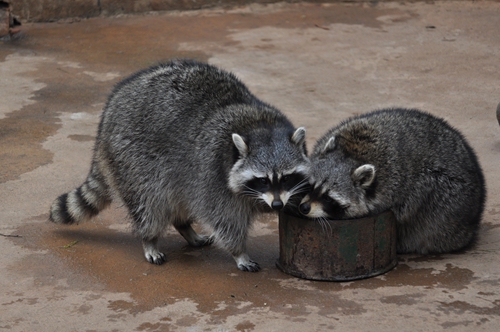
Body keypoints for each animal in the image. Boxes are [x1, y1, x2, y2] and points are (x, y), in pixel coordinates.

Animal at [50, 59, 308, 272]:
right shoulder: (213, 175)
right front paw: (239, 252)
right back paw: (149, 239)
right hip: (134, 160)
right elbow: (225, 220)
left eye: (286, 177)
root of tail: (106, 118)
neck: (260, 126)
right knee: (150, 205)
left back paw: (185, 227)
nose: (277, 204)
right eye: (263, 180)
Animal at [298, 109, 486, 254]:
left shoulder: (395, 188)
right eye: (310, 186)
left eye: (328, 198)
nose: (304, 208)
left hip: (447, 200)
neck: (352, 155)